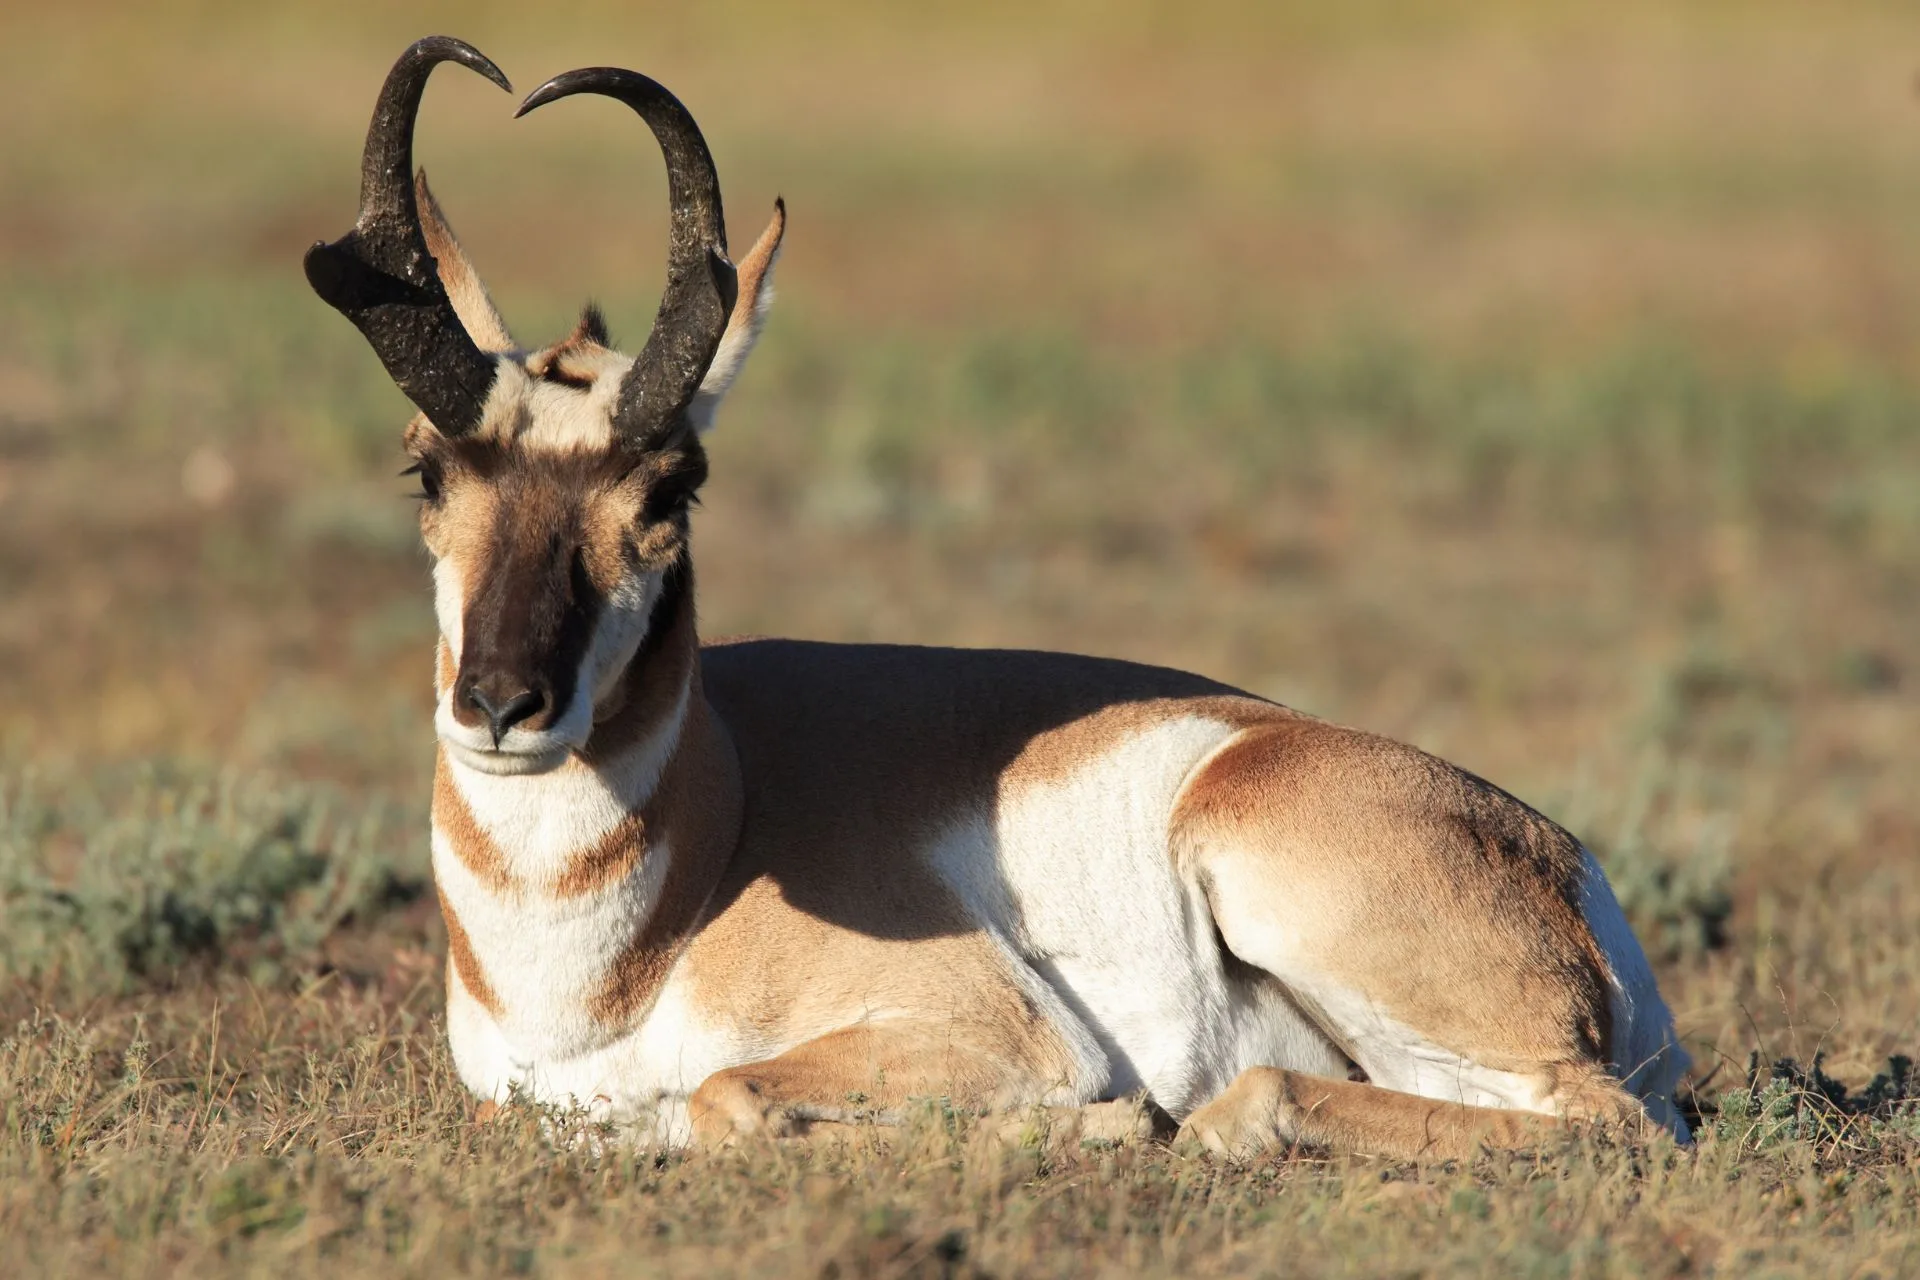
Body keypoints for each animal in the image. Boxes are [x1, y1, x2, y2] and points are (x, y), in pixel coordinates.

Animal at [306, 36, 1692, 1160]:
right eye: (429, 468)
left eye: (671, 488)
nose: (503, 703)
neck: (716, 821)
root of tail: (1561, 860)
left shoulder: (991, 1034)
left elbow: (722, 1096)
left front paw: (1115, 1120)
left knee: (1598, 1120)